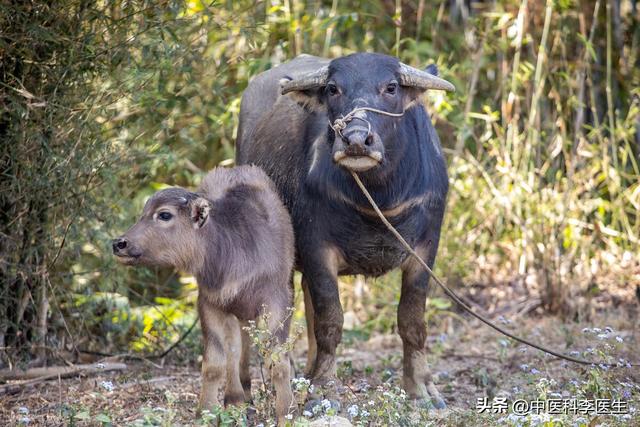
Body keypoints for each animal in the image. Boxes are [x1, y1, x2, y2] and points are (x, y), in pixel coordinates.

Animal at [112, 166, 296, 422]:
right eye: (143, 213)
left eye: (164, 215)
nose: (119, 244)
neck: (232, 251)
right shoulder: (210, 303)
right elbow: (215, 363)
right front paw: (206, 411)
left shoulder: (277, 301)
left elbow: (278, 361)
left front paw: (286, 412)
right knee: (235, 351)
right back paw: (237, 398)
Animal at [236, 52, 456, 408]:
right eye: (332, 88)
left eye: (391, 87)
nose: (355, 140)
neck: (378, 197)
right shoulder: (317, 248)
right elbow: (330, 321)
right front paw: (324, 387)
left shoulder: (426, 248)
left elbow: (412, 320)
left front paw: (422, 388)